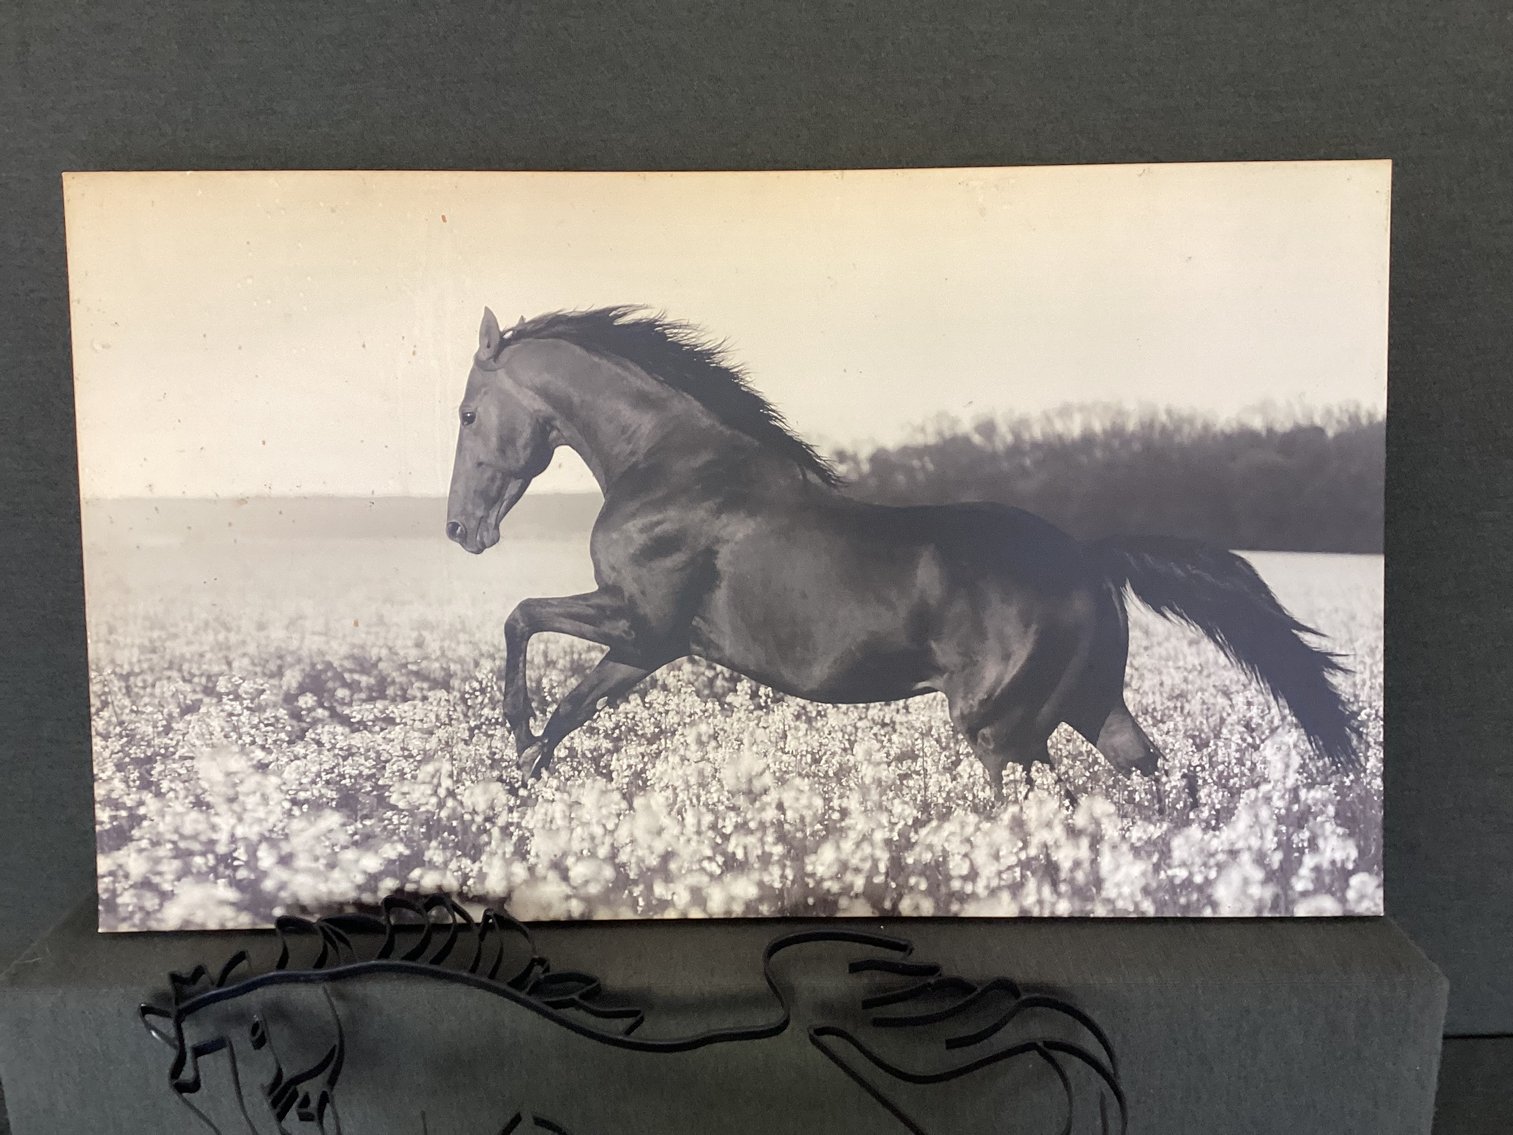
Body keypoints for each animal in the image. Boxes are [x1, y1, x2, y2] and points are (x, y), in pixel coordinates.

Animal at [445, 306, 1359, 797]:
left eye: (465, 412)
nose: (460, 530)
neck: (674, 465)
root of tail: (1087, 558)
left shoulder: (641, 623)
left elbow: (520, 618)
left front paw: (512, 730)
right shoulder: (652, 647)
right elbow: (572, 707)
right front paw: (518, 778)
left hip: (1003, 729)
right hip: (1092, 704)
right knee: (1149, 775)